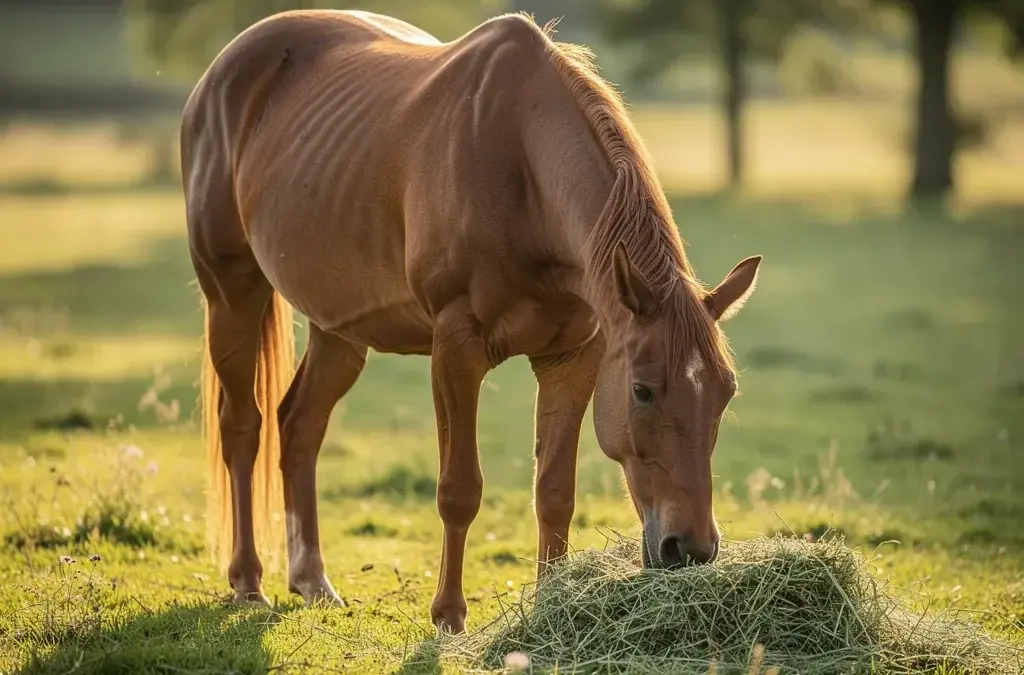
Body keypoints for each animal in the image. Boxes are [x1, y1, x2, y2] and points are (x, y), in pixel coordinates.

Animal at [181, 9, 761, 634]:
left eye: (725, 394)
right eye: (643, 391)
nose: (693, 549)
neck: (521, 171)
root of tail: (221, 73)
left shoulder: (573, 358)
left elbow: (554, 490)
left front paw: (550, 606)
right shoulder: (456, 351)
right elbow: (459, 489)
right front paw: (449, 615)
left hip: (338, 329)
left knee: (299, 427)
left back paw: (313, 582)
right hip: (232, 294)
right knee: (244, 427)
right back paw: (248, 582)